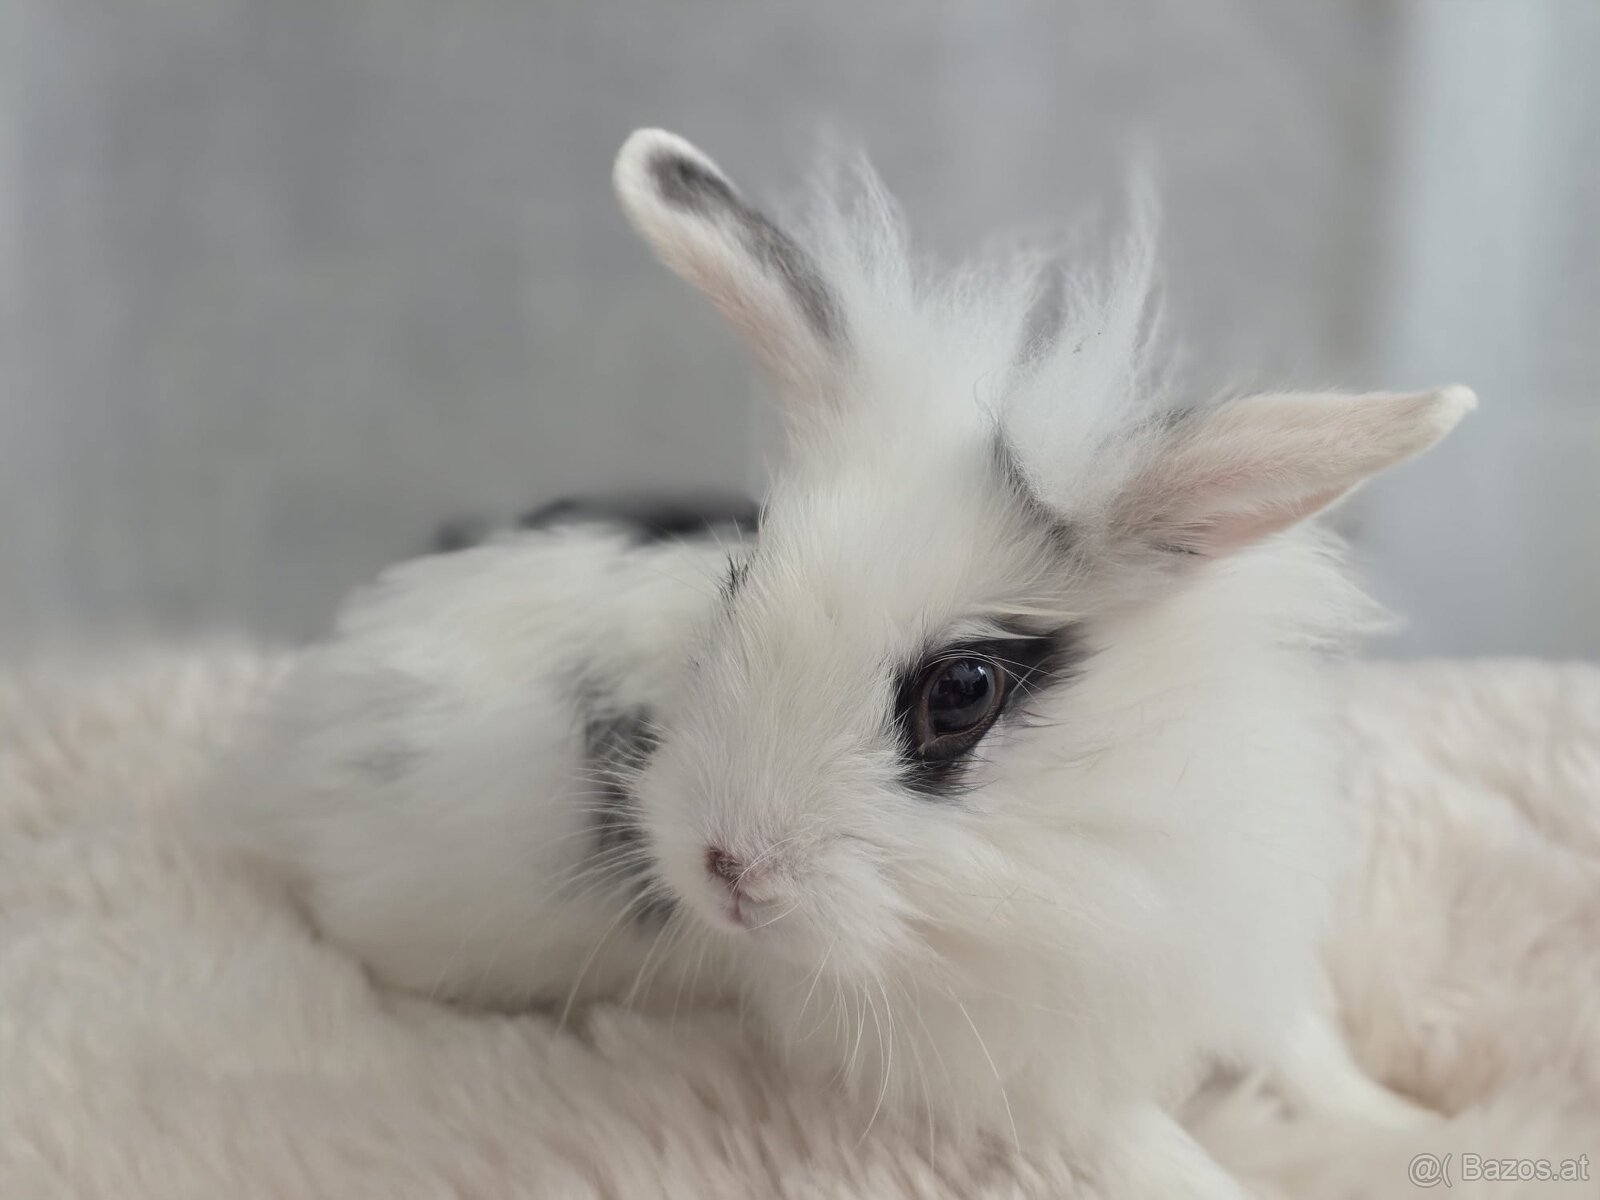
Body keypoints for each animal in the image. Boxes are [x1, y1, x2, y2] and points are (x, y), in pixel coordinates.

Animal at [208, 129, 1474, 1197]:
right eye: (736, 594)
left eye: (961, 692)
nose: (724, 867)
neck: (1090, 835)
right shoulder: (1039, 1084)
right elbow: (1163, 1156)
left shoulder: (1240, 953)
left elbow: (1312, 1062)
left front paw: (1418, 1126)